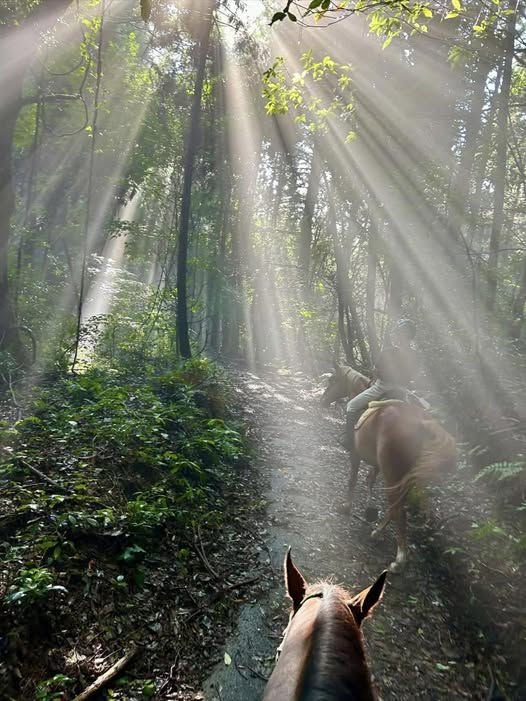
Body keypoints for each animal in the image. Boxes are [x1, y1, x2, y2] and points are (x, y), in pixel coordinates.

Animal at [321, 363, 457, 573]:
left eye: (332, 379)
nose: (322, 401)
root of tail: (421, 423)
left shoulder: (356, 455)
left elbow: (353, 480)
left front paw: (346, 506)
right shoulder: (377, 465)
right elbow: (369, 480)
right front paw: (369, 509)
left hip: (393, 474)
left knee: (398, 510)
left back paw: (399, 559)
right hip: (405, 477)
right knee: (396, 506)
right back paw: (378, 532)